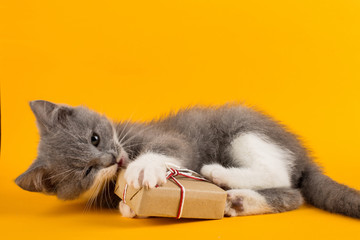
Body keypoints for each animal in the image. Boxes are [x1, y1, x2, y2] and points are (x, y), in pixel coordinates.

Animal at [16, 100, 360, 218]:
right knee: (292, 194)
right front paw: (128, 206)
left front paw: (143, 168)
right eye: (87, 171)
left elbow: (169, 147)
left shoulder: (164, 136)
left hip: (242, 127)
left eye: (95, 138)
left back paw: (217, 172)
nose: (113, 159)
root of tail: (303, 155)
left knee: (278, 174)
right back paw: (237, 201)